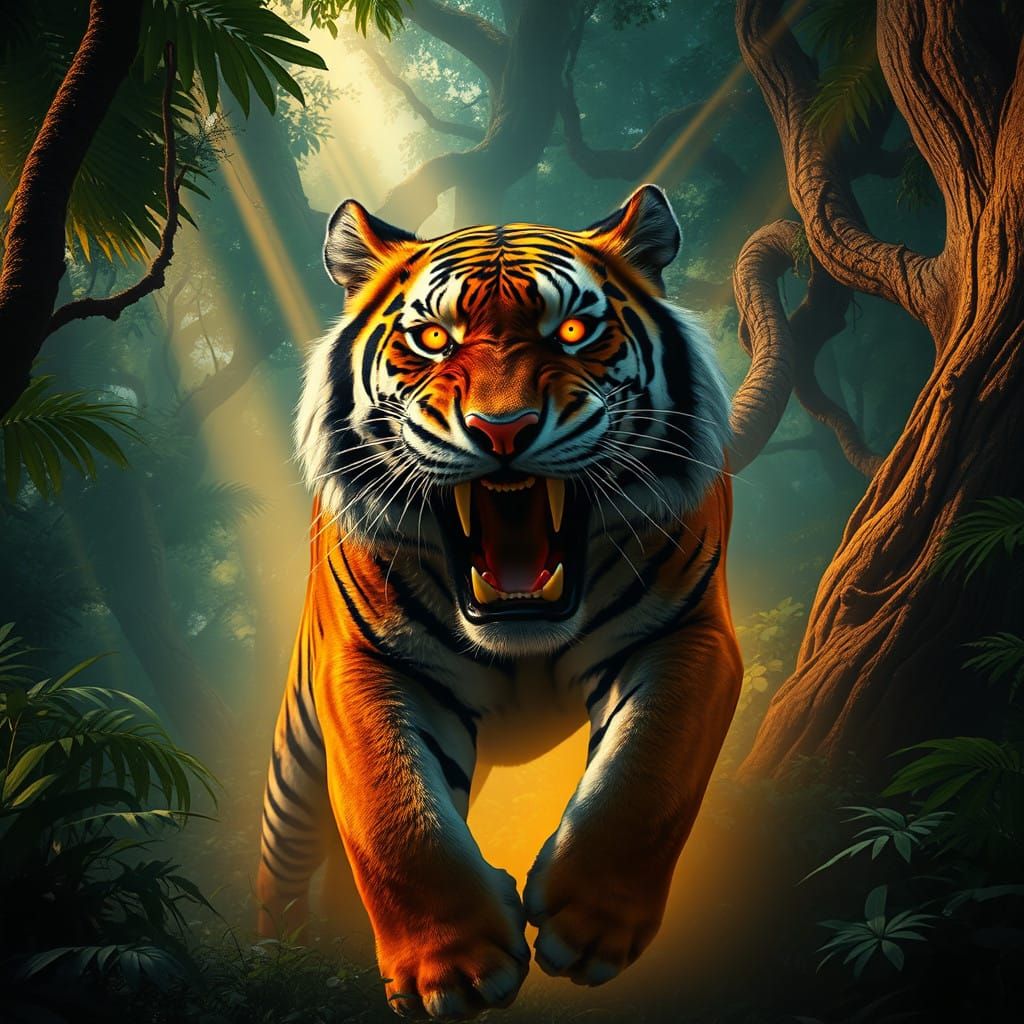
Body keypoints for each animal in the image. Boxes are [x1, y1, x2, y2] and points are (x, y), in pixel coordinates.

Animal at [256, 184, 742, 1020]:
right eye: (431, 339)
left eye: (574, 332)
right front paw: (452, 970)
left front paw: (586, 923)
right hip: (293, 772)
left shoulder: (692, 633)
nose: (503, 429)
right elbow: (396, 815)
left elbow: (646, 774)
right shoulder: (365, 664)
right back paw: (277, 964)